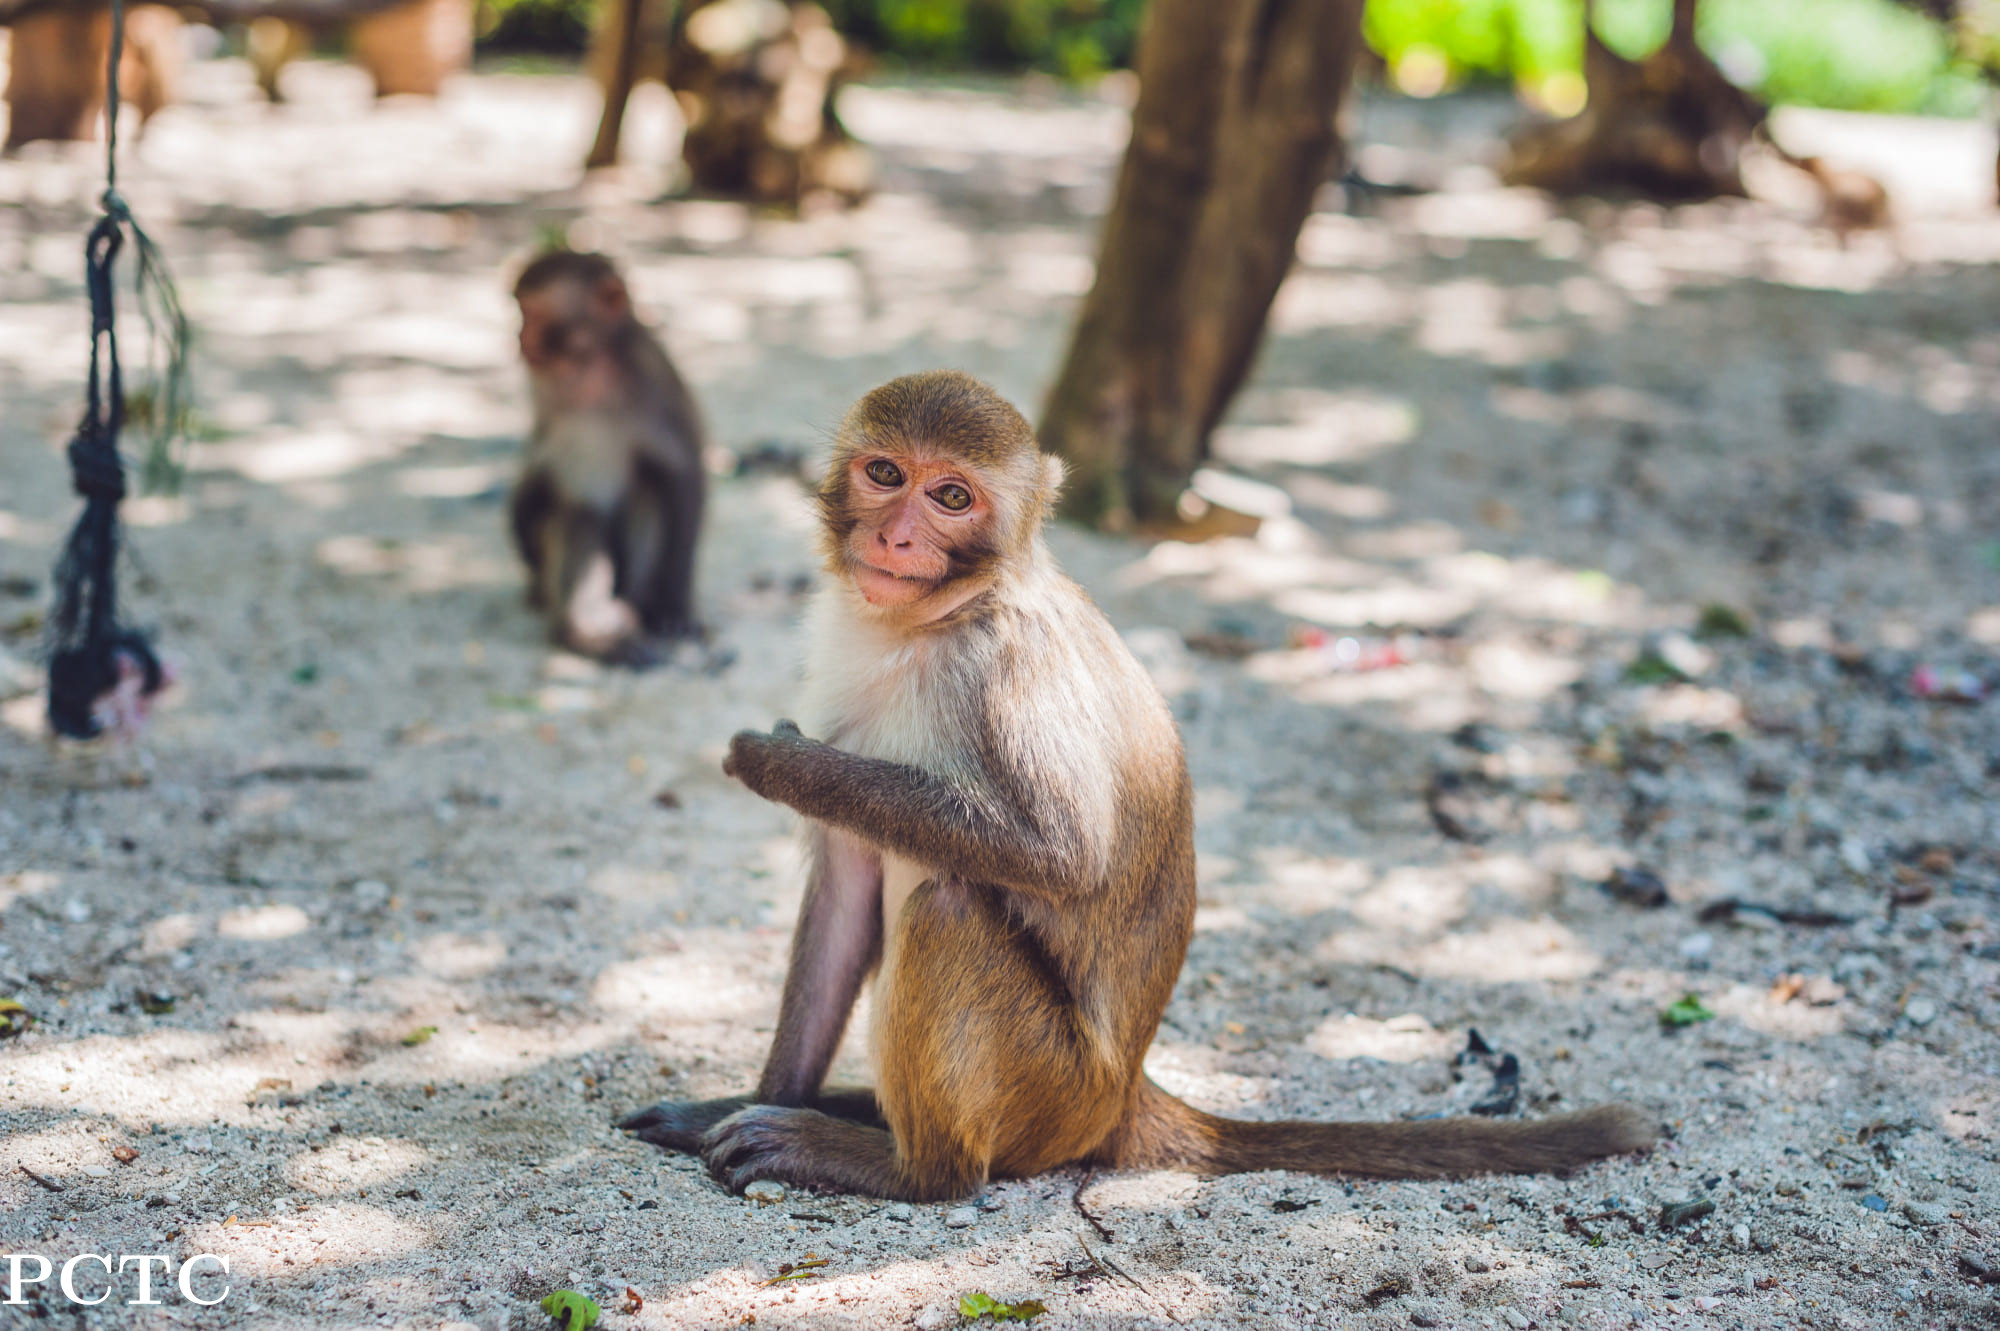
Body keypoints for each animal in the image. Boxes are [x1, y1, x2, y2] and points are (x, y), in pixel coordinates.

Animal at [510, 249, 706, 663]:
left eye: (535, 314)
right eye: (520, 310)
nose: (519, 337)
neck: (589, 366)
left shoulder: (652, 381)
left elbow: (681, 475)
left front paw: (673, 608)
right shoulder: (543, 391)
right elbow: (540, 465)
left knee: (646, 494)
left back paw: (634, 613)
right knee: (579, 514)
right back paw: (585, 630)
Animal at [619, 371, 1654, 1200]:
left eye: (951, 495)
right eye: (886, 474)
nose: (902, 533)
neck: (926, 625)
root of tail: (1124, 1095)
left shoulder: (1002, 670)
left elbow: (1061, 851)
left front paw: (775, 761)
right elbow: (842, 894)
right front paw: (742, 1099)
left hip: (1051, 1090)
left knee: (948, 906)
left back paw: (908, 1166)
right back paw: (847, 1112)